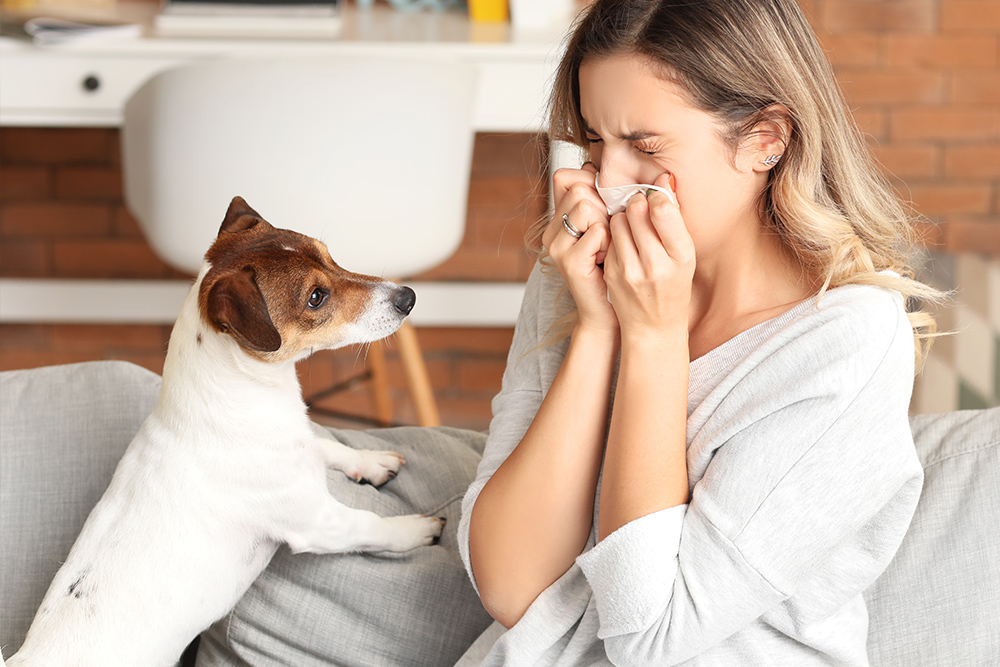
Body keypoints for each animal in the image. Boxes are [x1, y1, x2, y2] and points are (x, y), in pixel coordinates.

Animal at [6, 198, 446, 667]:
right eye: (316, 297)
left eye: (330, 256)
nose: (408, 297)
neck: (248, 398)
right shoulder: (319, 523)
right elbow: (370, 525)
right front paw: (416, 529)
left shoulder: (302, 448)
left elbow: (327, 444)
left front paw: (372, 460)